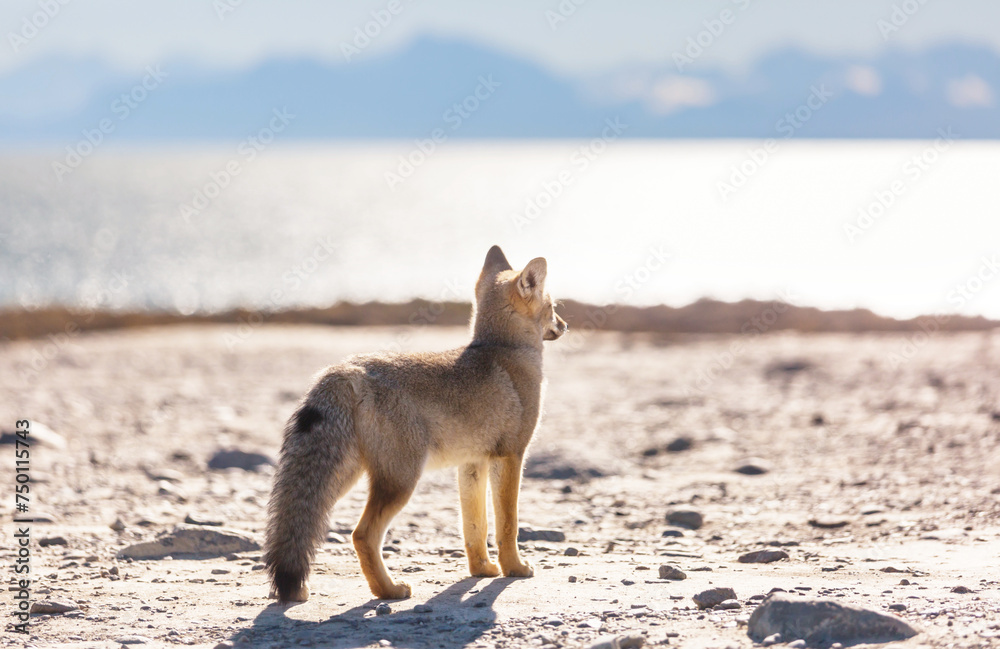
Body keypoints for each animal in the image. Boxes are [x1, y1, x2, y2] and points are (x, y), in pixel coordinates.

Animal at [264, 245, 568, 603]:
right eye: (553, 307)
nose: (566, 325)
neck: (504, 350)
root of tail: (346, 369)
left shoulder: (472, 464)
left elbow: (475, 527)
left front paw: (482, 569)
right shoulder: (511, 456)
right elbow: (508, 525)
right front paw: (515, 568)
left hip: (344, 478)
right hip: (401, 481)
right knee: (362, 535)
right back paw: (389, 590)